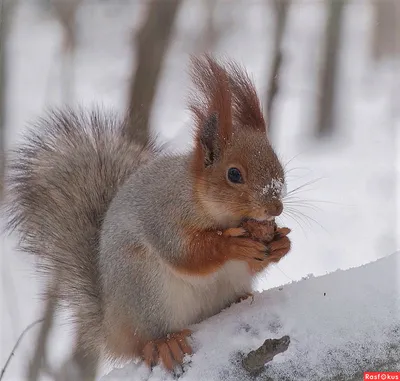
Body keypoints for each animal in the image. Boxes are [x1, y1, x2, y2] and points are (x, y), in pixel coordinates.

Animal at [5, 55, 290, 372]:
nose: (275, 207)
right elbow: (186, 254)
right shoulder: (162, 214)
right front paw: (232, 244)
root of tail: (112, 327)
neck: (216, 212)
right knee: (144, 340)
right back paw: (164, 342)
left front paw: (281, 243)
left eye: (278, 164)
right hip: (144, 287)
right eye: (234, 174)